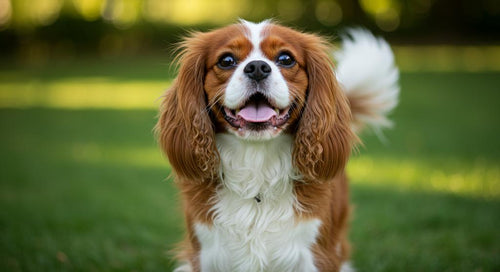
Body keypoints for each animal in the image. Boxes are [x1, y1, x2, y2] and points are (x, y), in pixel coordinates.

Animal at [156, 19, 398, 272]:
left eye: (285, 59)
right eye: (226, 61)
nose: (257, 67)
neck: (257, 163)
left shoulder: (316, 255)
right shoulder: (206, 254)